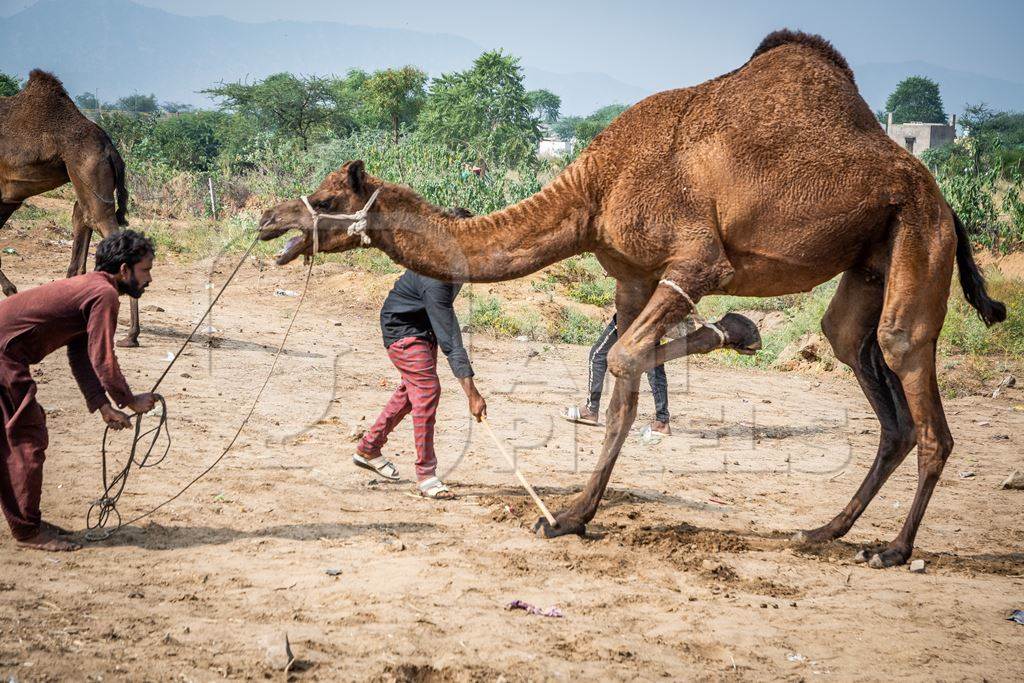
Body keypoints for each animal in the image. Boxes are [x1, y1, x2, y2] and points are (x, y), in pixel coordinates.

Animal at [258, 29, 1007, 569]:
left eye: (329, 198)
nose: (268, 219)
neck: (594, 188)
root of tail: (944, 197)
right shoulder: (632, 274)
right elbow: (623, 376)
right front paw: (572, 515)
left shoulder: (697, 259)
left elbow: (624, 356)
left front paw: (736, 328)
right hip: (871, 254)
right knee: (856, 351)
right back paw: (824, 531)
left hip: (919, 234)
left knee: (911, 366)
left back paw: (895, 549)